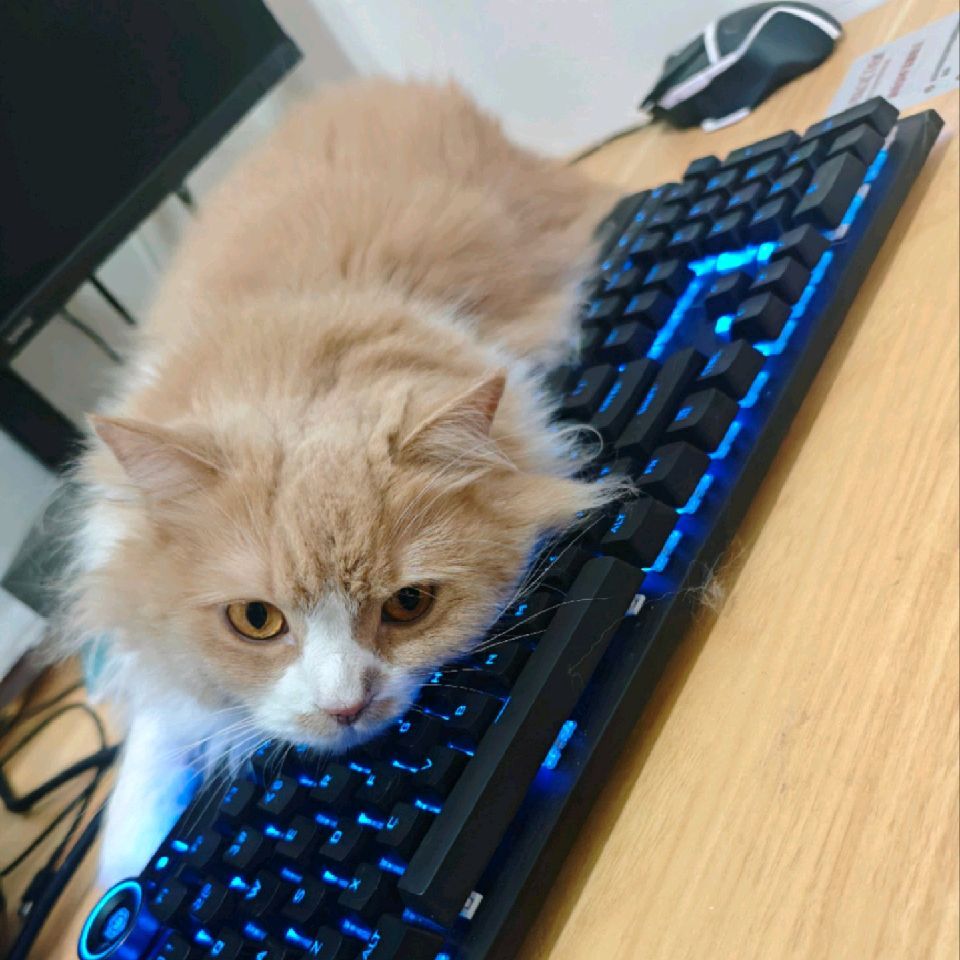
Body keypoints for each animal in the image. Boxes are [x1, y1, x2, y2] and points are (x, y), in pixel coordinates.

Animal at [62, 79, 625, 883]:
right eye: (255, 620)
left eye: (410, 606)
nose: (345, 708)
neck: (299, 338)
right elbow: (146, 757)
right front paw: (125, 871)